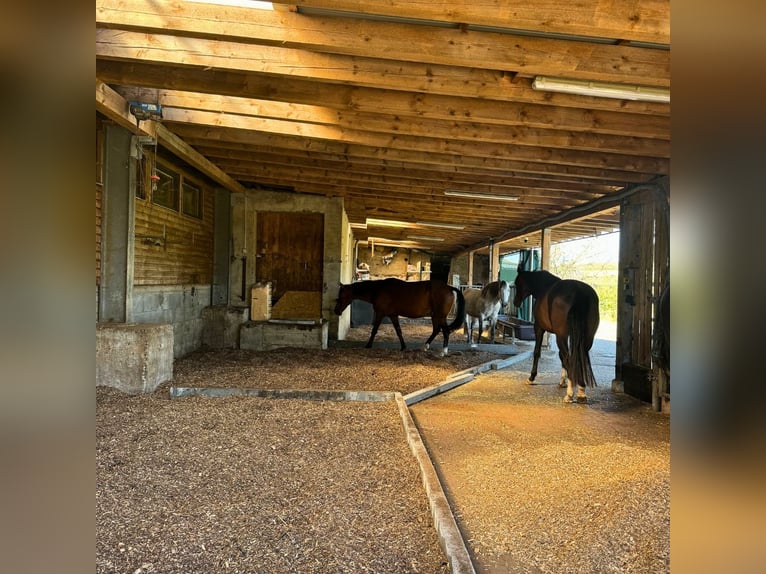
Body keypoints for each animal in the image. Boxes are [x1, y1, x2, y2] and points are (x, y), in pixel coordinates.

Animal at [332, 280, 464, 356]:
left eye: (341, 296)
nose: (336, 311)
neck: (379, 289)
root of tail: (449, 287)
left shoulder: (380, 313)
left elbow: (374, 330)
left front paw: (368, 345)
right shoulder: (393, 315)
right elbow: (398, 331)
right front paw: (403, 347)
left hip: (440, 316)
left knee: (445, 331)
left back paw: (443, 352)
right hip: (435, 316)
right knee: (436, 330)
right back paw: (425, 347)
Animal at [512, 272, 604, 402]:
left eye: (518, 283)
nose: (515, 302)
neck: (543, 287)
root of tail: (579, 293)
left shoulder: (539, 328)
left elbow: (537, 352)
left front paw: (531, 378)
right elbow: (561, 356)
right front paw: (562, 382)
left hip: (561, 336)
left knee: (569, 358)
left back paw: (570, 394)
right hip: (587, 338)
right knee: (578, 358)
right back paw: (581, 392)